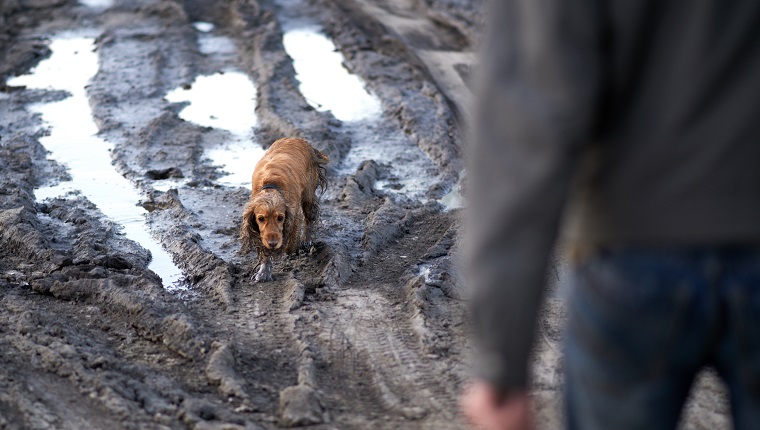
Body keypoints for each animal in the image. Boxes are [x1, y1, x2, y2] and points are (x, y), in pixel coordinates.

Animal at [240, 138, 330, 282]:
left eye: (280, 218)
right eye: (261, 218)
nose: (273, 243)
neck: (271, 185)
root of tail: (301, 140)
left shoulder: (294, 214)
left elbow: (290, 245)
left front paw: (293, 249)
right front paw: (263, 272)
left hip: (308, 194)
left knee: (310, 217)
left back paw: (306, 241)